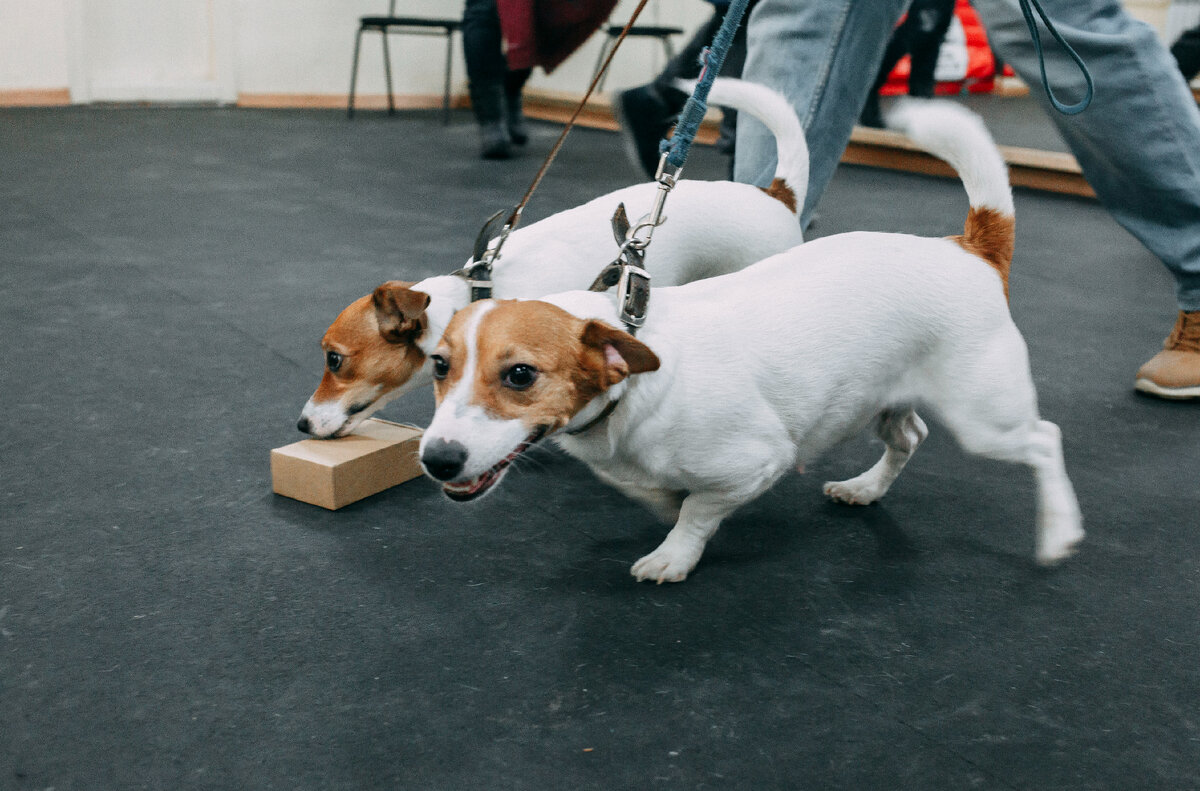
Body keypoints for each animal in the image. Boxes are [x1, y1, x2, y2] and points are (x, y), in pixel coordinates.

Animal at [417, 100, 1084, 580]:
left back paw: (1058, 531)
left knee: (1045, 439)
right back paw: (865, 488)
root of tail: (970, 246)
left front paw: (674, 555)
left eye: (521, 375)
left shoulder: (755, 462)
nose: (435, 460)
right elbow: (653, 492)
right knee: (910, 437)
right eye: (440, 366)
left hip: (983, 415)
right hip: (880, 397)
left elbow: (695, 511)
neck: (632, 385)